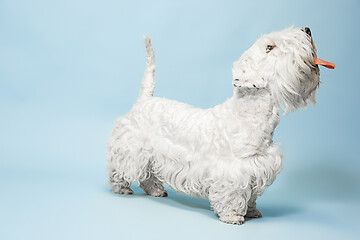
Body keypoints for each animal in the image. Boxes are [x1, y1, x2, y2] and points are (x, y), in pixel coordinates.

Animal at [107, 27, 334, 224]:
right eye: (270, 47)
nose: (307, 29)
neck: (250, 113)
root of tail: (145, 99)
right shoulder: (234, 170)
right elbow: (234, 193)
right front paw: (233, 216)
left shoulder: (257, 167)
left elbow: (251, 194)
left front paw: (252, 211)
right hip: (131, 148)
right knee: (119, 169)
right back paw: (122, 188)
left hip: (151, 154)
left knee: (148, 175)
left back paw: (156, 190)